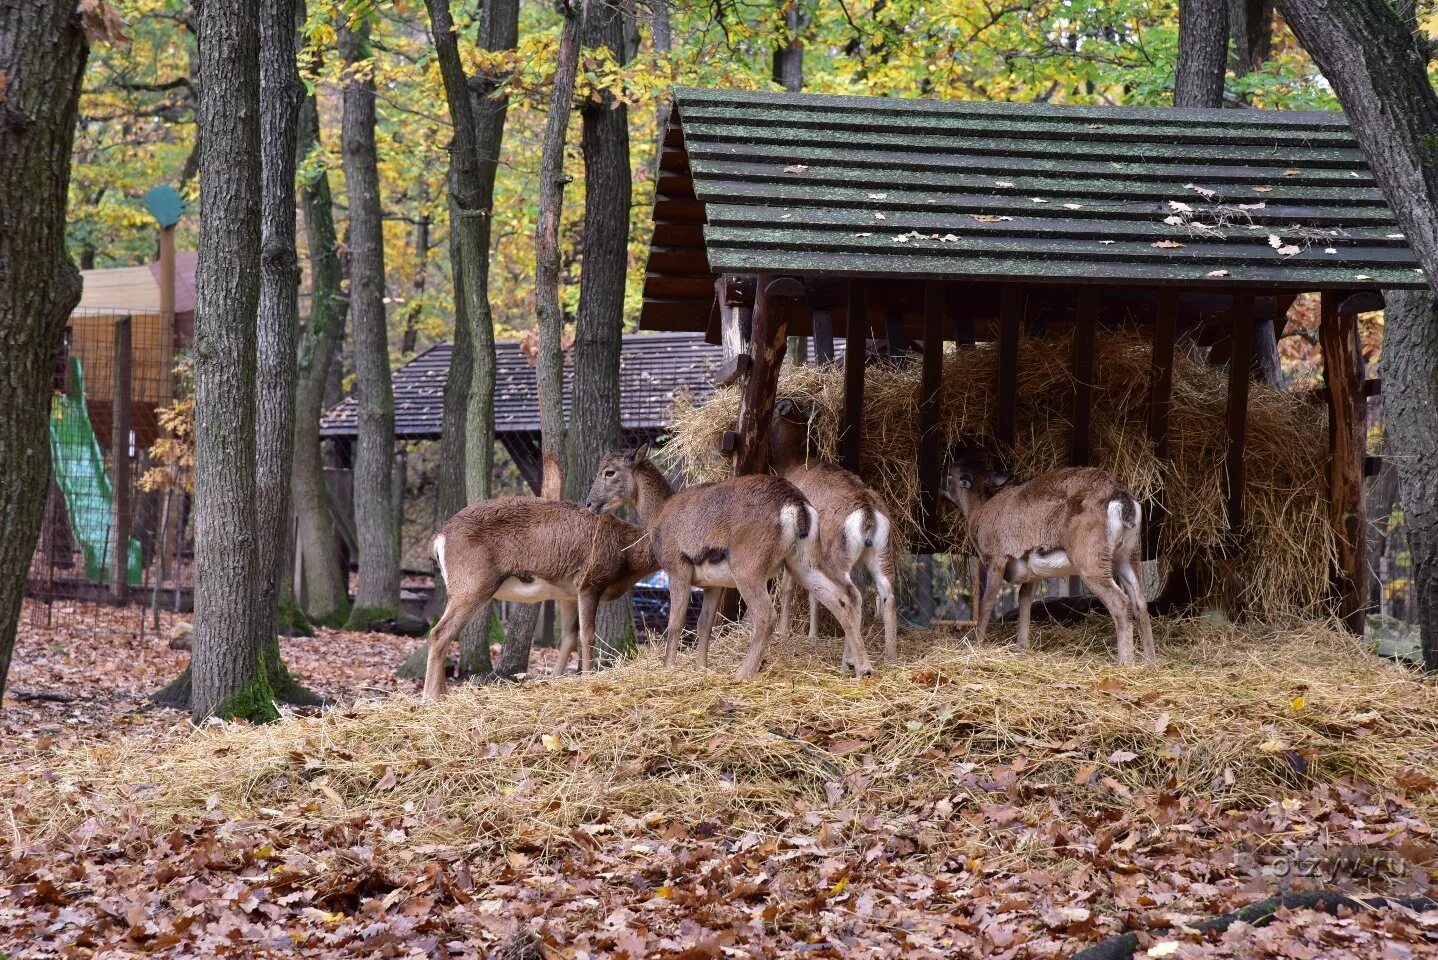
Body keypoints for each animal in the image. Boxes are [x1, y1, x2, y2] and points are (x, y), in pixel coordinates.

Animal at [419, 494, 658, 698]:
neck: (626, 554)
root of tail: (438, 538)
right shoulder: (589, 582)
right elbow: (587, 635)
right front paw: (588, 677)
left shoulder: (567, 594)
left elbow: (568, 637)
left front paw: (556, 678)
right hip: (472, 585)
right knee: (438, 633)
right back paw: (431, 697)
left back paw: (441, 694)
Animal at [580, 445, 868, 678]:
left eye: (609, 472)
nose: (590, 503)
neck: (659, 514)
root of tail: (797, 507)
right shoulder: (712, 583)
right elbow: (704, 624)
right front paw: (701, 668)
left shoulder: (677, 566)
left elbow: (676, 623)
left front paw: (668, 669)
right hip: (802, 561)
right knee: (841, 598)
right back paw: (862, 668)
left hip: (748, 566)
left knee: (766, 615)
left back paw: (742, 673)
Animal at [770, 396, 891, 661]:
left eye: (774, 405)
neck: (792, 465)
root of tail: (867, 514)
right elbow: (814, 593)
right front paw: (812, 635)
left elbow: (789, 587)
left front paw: (783, 632)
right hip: (881, 550)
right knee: (883, 591)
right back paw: (891, 657)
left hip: (838, 555)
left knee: (852, 595)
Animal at [943, 457, 1156, 666]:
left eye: (949, 473)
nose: (939, 487)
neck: (979, 512)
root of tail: (1122, 499)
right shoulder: (1033, 570)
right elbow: (1024, 599)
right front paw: (1022, 646)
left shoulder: (997, 557)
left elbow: (987, 601)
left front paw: (976, 643)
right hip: (1129, 554)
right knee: (1140, 603)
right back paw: (1151, 664)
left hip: (1091, 560)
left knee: (1121, 603)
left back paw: (1125, 665)